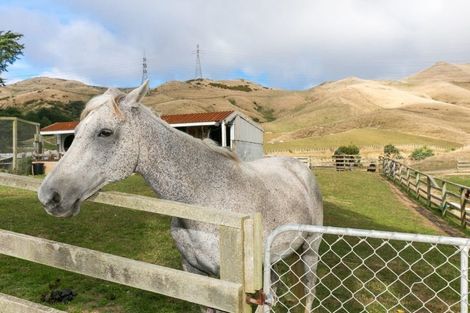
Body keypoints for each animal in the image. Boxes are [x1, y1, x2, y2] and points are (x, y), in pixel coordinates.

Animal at [37, 81, 324, 312]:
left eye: (105, 132)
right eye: (74, 134)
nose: (49, 196)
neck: (206, 201)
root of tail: (300, 168)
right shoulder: (197, 274)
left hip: (310, 250)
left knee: (309, 293)